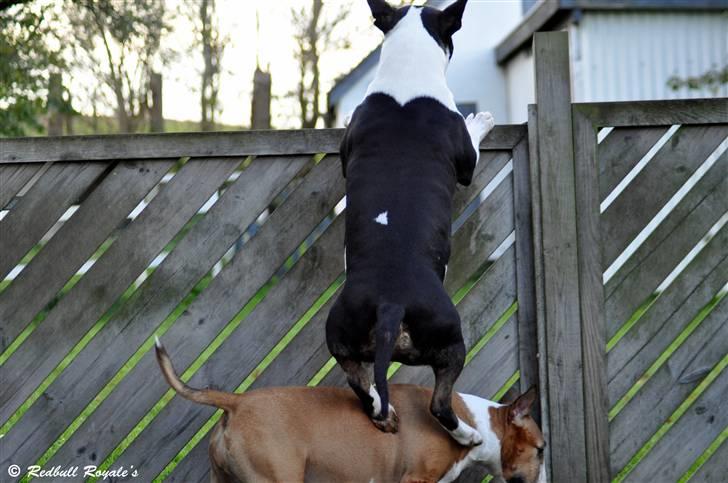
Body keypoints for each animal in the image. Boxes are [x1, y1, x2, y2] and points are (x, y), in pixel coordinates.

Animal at [324, 0, 494, 446]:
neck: (407, 73)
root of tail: (390, 305)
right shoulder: (466, 160)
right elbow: (472, 141)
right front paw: (482, 119)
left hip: (341, 338)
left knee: (362, 387)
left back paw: (384, 415)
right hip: (450, 339)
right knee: (439, 403)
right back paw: (469, 437)